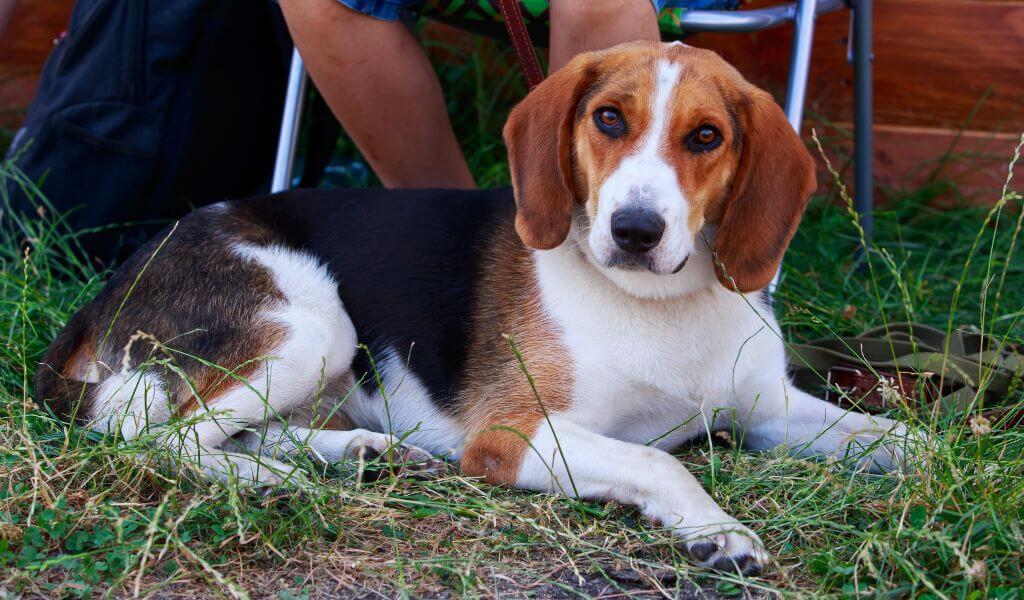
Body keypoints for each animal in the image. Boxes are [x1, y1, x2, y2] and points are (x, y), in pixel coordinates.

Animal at [37, 39, 913, 573]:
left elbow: (902, 439)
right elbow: (658, 459)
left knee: (241, 429)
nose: (634, 230)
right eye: (608, 118)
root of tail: (114, 285)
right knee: (155, 438)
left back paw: (356, 453)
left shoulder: (769, 410)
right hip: (312, 327)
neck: (661, 302)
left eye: (706, 137)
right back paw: (272, 483)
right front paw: (717, 528)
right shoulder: (512, 436)